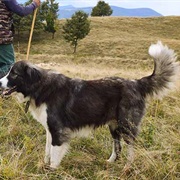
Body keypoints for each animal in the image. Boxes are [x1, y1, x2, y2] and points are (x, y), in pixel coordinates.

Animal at [0, 41, 179, 169]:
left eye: (14, 74)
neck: (41, 87)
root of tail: (136, 83)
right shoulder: (50, 130)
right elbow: (47, 151)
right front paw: (43, 165)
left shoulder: (58, 131)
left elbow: (54, 155)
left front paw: (51, 171)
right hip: (114, 126)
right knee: (117, 147)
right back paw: (110, 162)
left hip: (126, 125)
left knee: (130, 147)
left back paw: (127, 168)